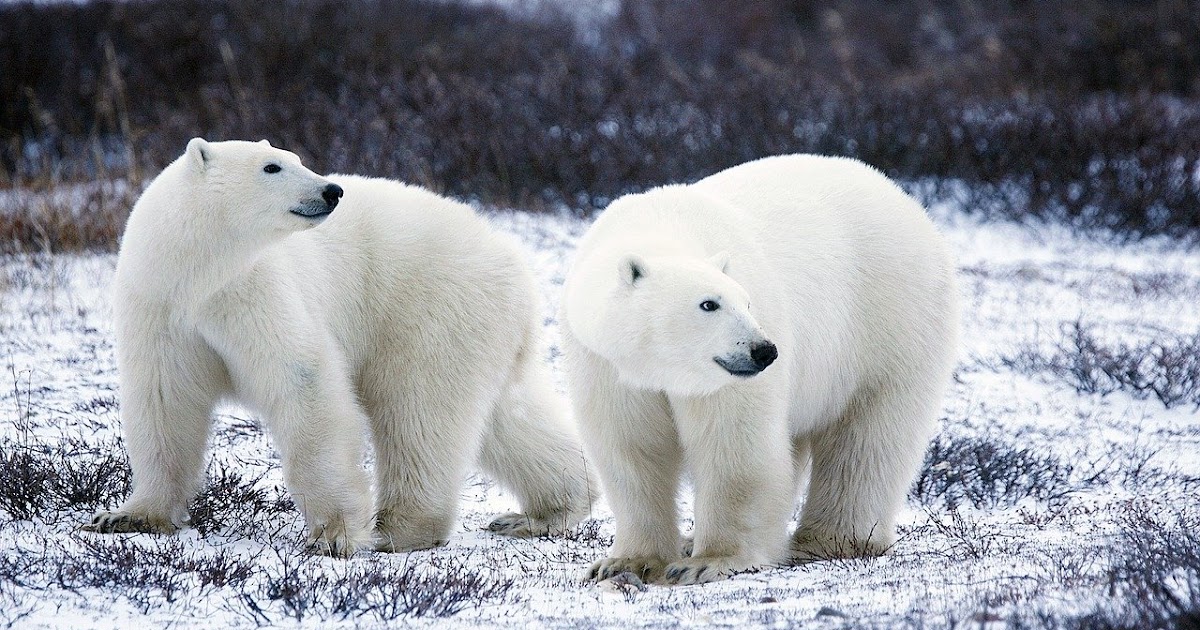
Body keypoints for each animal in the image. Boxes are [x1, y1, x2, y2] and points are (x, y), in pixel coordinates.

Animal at [85, 138, 596, 556]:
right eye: (272, 166)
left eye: (296, 158)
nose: (332, 190)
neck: (198, 273)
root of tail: (514, 261)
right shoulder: (160, 306)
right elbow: (164, 400)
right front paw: (127, 516)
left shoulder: (254, 290)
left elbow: (303, 381)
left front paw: (334, 535)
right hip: (481, 327)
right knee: (507, 416)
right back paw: (544, 511)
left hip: (430, 308)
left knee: (418, 409)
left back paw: (400, 529)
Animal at [561, 154, 958, 585]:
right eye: (709, 304)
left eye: (746, 302)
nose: (764, 351)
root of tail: (905, 199)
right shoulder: (606, 364)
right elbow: (631, 448)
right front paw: (625, 562)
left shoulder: (725, 379)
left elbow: (735, 445)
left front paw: (708, 561)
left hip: (889, 320)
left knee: (868, 438)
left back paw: (829, 540)